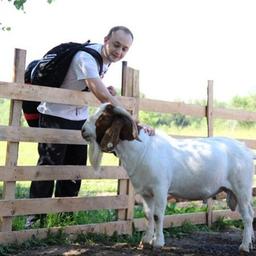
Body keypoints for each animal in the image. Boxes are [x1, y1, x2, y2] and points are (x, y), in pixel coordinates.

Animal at [82, 102, 256, 252]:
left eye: (103, 117)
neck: (143, 150)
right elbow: (148, 215)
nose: (83, 130)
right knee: (249, 213)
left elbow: (158, 215)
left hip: (242, 189)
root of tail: (247, 151)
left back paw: (244, 246)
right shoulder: (146, 192)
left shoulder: (160, 188)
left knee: (247, 216)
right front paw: (146, 241)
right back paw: (250, 243)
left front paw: (158, 243)